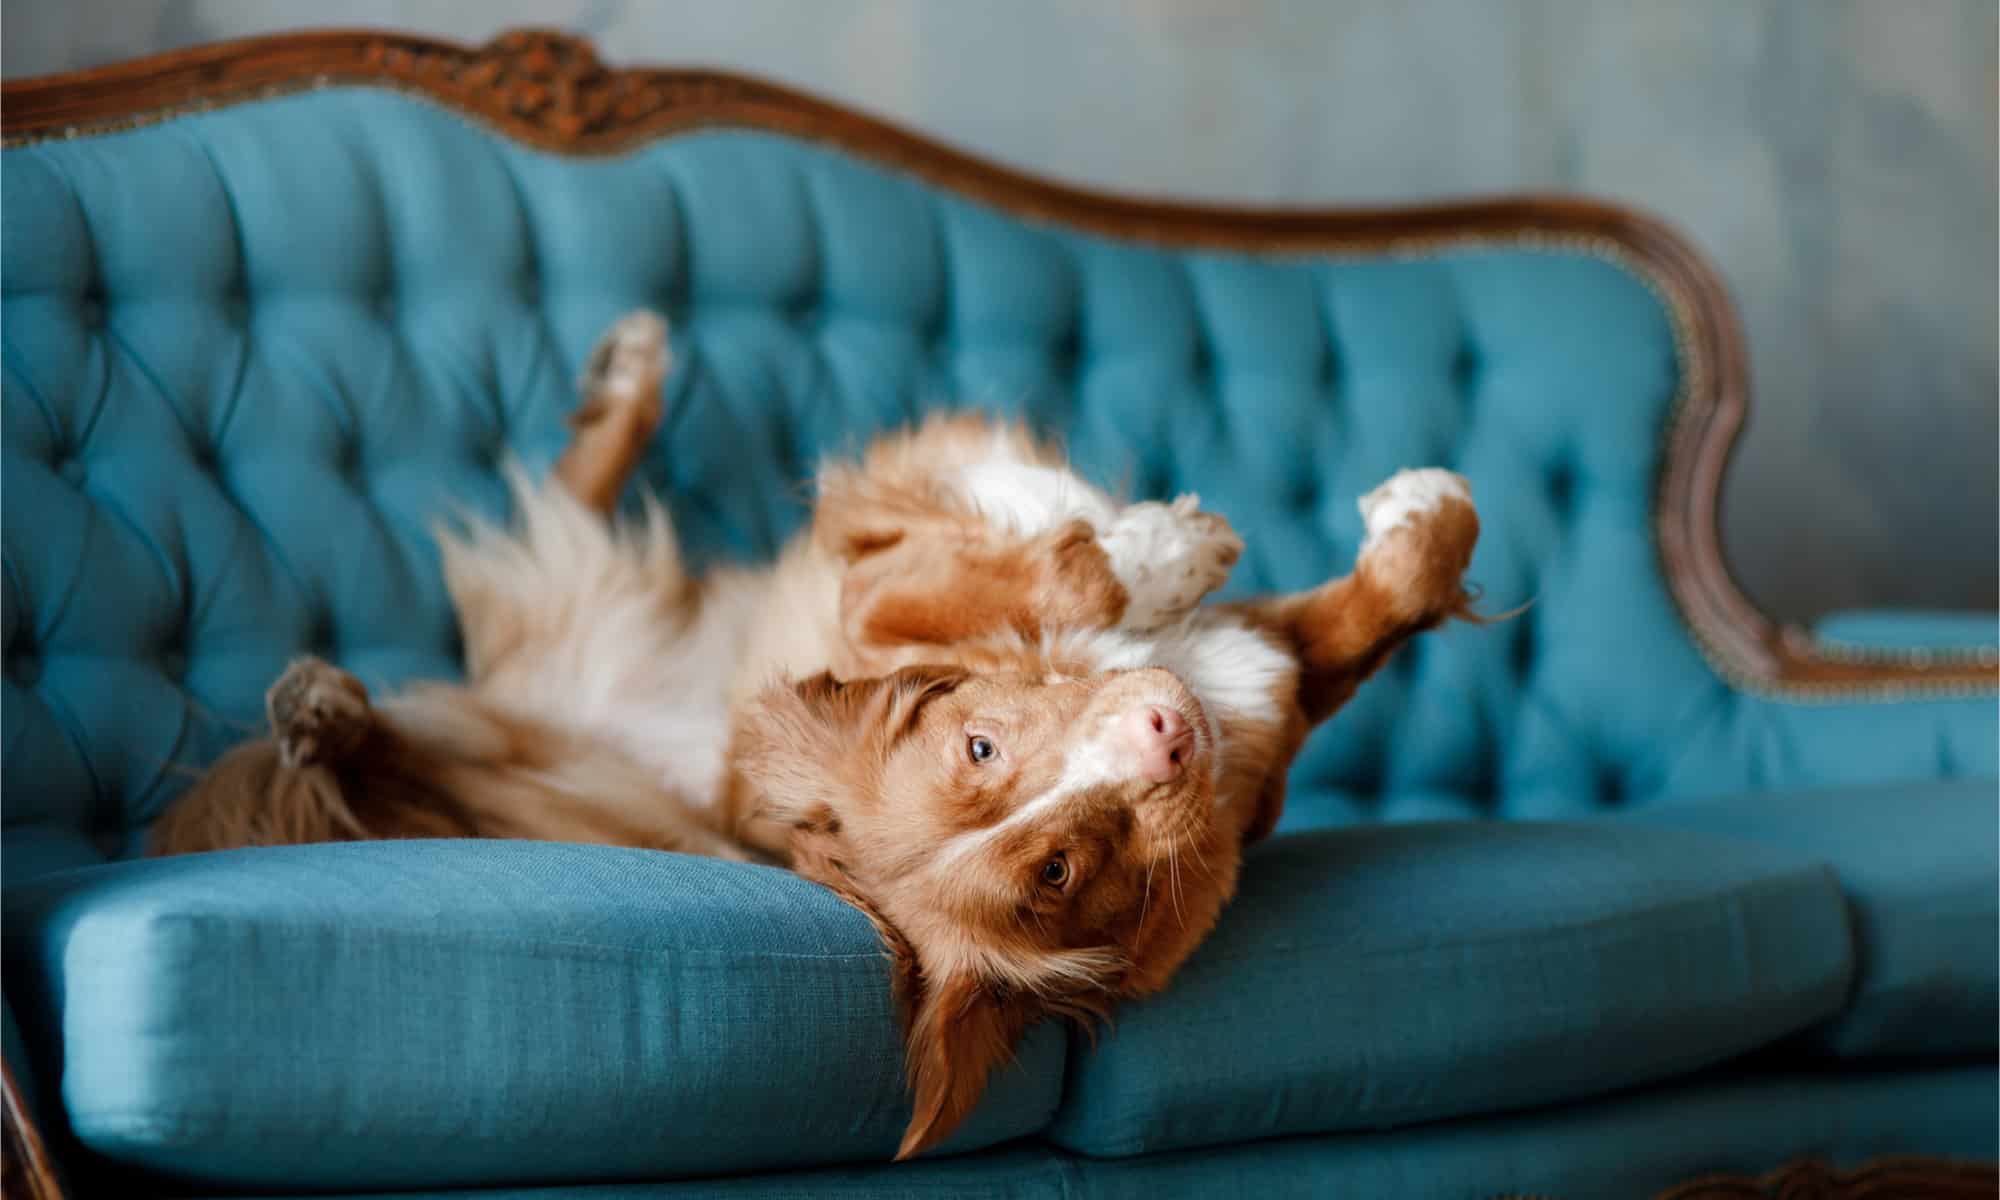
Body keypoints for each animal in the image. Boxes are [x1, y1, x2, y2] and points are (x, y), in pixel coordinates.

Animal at [156, 310, 1480, 1160]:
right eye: (1054, 871)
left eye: (980, 752)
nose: (1167, 733)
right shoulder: (877, 565)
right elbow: (1079, 566)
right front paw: (1166, 544)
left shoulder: (1259, 690)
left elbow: (1402, 579)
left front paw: (1393, 516)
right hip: (556, 757)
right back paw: (328, 713)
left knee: (565, 508)